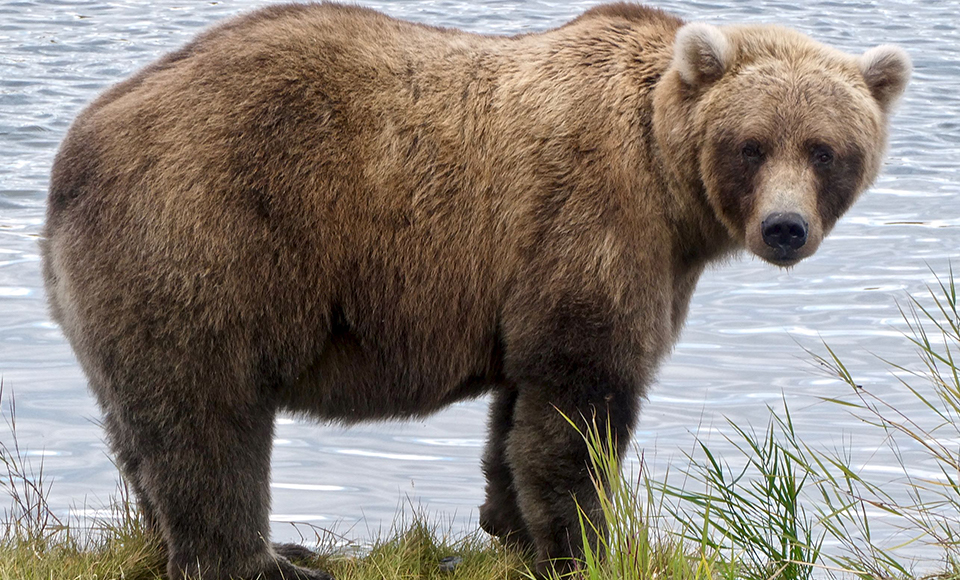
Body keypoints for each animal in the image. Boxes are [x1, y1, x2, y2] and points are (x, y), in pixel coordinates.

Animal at [39, 2, 910, 579]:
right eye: (753, 144)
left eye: (825, 148)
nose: (785, 228)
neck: (670, 185)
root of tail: (77, 147)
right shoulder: (598, 219)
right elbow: (579, 401)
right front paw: (588, 544)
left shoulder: (538, 272)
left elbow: (518, 408)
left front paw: (509, 523)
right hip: (210, 234)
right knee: (210, 418)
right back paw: (263, 557)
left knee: (142, 428)